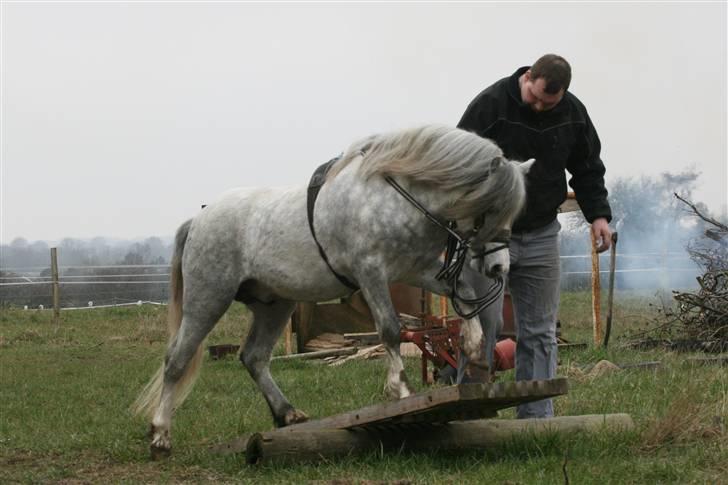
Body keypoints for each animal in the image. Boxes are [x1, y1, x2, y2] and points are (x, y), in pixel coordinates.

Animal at [132, 123, 528, 456]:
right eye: (490, 208)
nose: (499, 268)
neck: (398, 198)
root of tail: (199, 218)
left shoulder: (417, 269)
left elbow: (463, 289)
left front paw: (473, 344)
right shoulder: (372, 272)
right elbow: (391, 329)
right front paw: (400, 390)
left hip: (275, 304)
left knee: (254, 357)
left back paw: (287, 413)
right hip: (209, 298)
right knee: (177, 359)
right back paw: (161, 435)